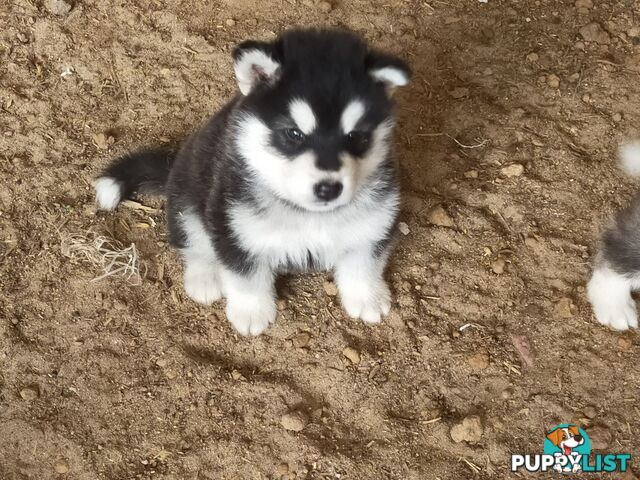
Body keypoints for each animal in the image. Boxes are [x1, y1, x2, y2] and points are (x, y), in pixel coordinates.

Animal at [96, 28, 410, 336]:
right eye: (294, 134)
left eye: (356, 136)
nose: (328, 188)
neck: (308, 215)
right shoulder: (234, 228)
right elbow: (245, 276)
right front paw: (251, 311)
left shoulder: (375, 222)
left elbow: (364, 264)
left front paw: (367, 297)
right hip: (187, 199)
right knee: (195, 241)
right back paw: (204, 278)